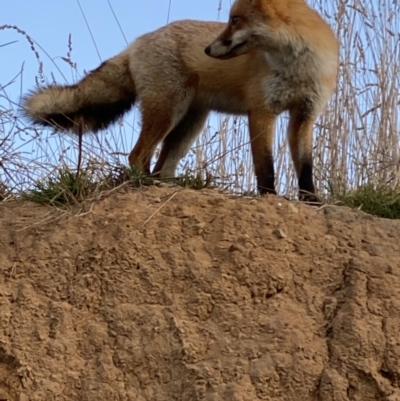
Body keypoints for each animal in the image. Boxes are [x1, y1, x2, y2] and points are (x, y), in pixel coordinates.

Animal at [23, 0, 340, 202]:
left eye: (235, 20)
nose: (208, 49)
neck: (297, 68)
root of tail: (137, 42)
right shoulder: (262, 111)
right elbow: (266, 166)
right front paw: (270, 197)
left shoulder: (304, 116)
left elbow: (306, 167)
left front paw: (312, 201)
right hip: (167, 113)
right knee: (137, 156)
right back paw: (146, 186)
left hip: (188, 126)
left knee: (162, 167)